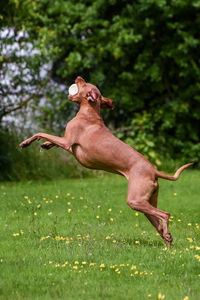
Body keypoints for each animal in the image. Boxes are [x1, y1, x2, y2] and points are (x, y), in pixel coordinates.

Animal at [19, 76, 193, 245]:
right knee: (159, 225)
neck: (88, 113)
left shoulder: (67, 141)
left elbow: (41, 133)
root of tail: (153, 170)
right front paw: (46, 145)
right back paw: (168, 240)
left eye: (85, 84)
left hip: (135, 200)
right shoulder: (67, 143)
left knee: (165, 214)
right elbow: (49, 139)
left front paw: (26, 142)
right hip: (146, 202)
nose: (78, 77)